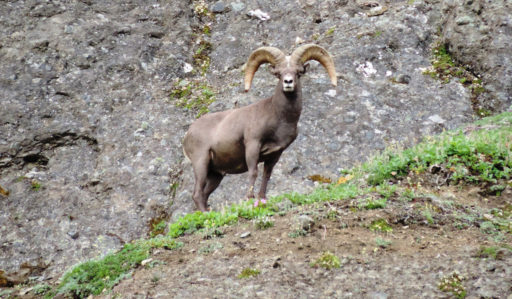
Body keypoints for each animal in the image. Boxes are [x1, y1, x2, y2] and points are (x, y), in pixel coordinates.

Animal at [183, 45, 336, 213]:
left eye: (298, 72)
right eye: (279, 74)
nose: (288, 82)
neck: (279, 118)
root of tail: (188, 134)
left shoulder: (275, 154)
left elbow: (266, 175)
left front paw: (262, 200)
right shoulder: (252, 145)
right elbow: (253, 173)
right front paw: (249, 199)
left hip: (216, 174)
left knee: (204, 195)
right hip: (201, 163)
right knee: (197, 194)